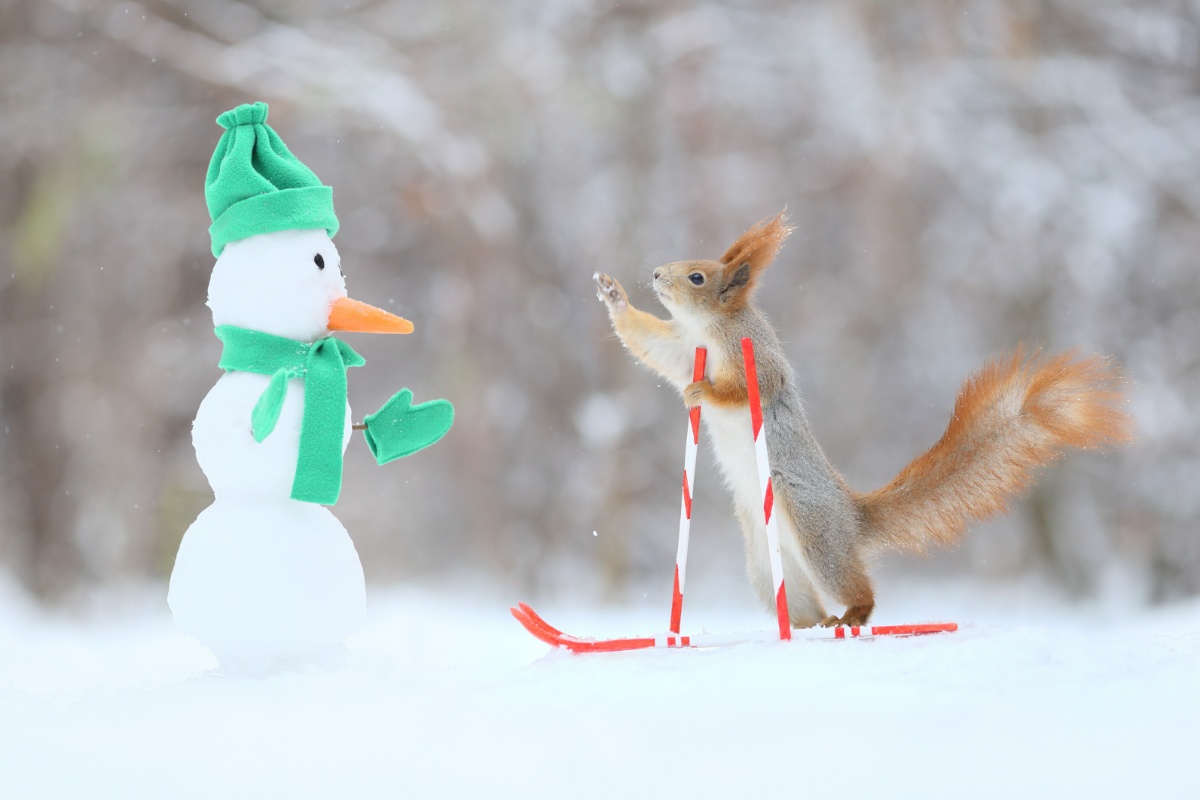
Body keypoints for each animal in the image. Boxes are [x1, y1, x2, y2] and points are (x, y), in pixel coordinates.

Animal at [592, 209, 1132, 628]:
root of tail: (852, 517)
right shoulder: (683, 349)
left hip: (814, 532)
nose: (656, 274)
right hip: (769, 561)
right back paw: (812, 625)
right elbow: (650, 344)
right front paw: (612, 295)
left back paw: (851, 616)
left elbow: (747, 391)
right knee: (798, 600)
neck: (708, 328)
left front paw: (702, 392)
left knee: (856, 587)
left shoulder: (755, 358)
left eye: (698, 277)